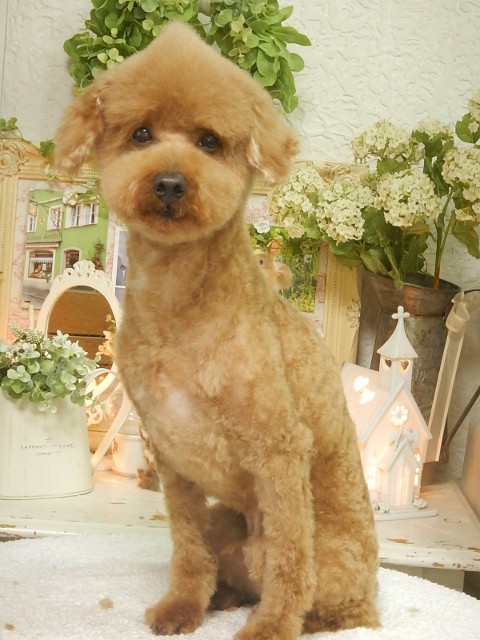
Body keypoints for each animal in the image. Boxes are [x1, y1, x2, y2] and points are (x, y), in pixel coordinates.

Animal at [55, 22, 379, 640]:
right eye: (141, 133)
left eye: (208, 141)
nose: (169, 183)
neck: (182, 304)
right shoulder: (171, 457)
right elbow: (188, 546)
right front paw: (184, 605)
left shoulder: (279, 452)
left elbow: (289, 561)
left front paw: (272, 627)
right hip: (227, 523)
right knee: (227, 560)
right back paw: (221, 597)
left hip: (322, 561)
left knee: (330, 598)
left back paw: (306, 617)